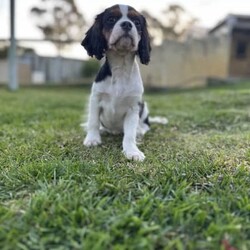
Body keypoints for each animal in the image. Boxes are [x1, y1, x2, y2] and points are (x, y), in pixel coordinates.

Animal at [81, 4, 166, 162]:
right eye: (111, 19)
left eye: (137, 22)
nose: (127, 24)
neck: (120, 68)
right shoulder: (95, 99)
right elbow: (93, 121)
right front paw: (92, 139)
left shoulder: (133, 107)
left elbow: (129, 134)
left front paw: (132, 151)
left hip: (144, 107)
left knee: (145, 125)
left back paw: (140, 130)